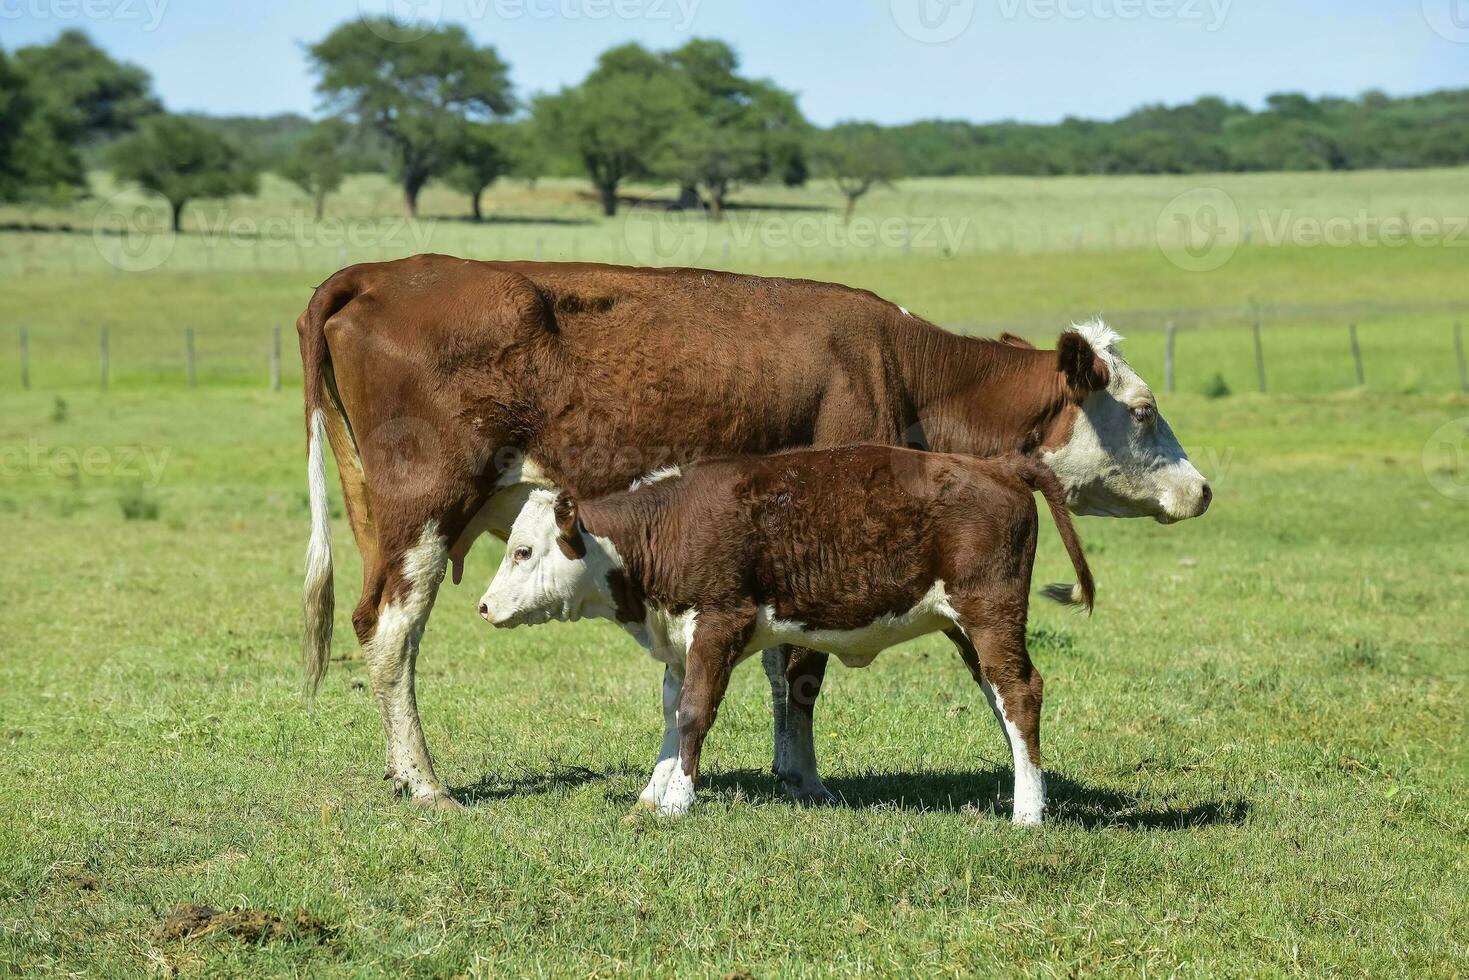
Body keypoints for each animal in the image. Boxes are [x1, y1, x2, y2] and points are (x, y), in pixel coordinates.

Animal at [478, 449, 1092, 822]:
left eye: (524, 551)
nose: (483, 607)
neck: (669, 527)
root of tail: (1000, 467)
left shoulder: (720, 623)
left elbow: (695, 713)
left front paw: (677, 802)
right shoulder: (679, 642)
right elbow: (672, 714)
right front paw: (651, 794)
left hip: (990, 612)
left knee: (1021, 692)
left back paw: (1028, 815)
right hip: (966, 627)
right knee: (1001, 697)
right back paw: (1024, 790)